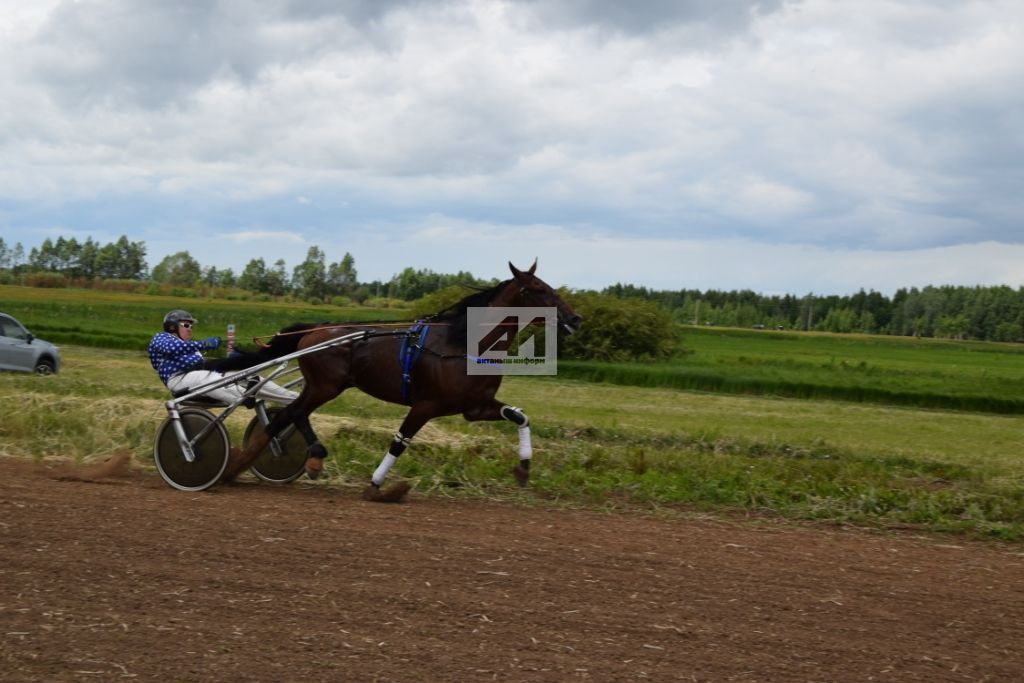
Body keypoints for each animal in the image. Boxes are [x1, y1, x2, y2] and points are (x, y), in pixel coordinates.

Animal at [220, 259, 581, 499]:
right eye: (538, 289)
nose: (575, 318)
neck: (462, 344)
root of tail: (317, 329)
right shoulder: (425, 405)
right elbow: (399, 441)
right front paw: (376, 486)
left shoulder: (475, 407)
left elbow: (520, 416)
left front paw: (523, 469)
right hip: (326, 385)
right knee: (294, 413)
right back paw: (309, 459)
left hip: (321, 386)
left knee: (284, 416)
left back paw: (241, 466)